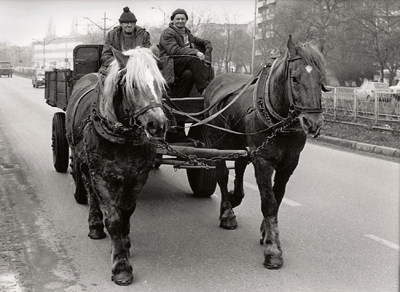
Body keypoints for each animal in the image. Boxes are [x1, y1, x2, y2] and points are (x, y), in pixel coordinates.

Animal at [65, 47, 167, 286]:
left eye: (159, 83)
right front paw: (121, 266)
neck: (123, 137)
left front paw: (124, 244)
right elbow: (113, 218)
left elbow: (126, 211)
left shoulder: (137, 176)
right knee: (90, 191)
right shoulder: (101, 175)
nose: (158, 125)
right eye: (133, 85)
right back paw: (95, 226)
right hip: (83, 164)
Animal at [203, 36, 324, 270]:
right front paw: (273, 250)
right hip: (216, 142)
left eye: (321, 79)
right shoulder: (263, 160)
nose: (313, 123)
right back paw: (227, 213)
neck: (279, 122)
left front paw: (266, 232)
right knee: (222, 175)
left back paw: (234, 198)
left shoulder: (289, 163)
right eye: (294, 78)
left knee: (239, 168)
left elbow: (278, 197)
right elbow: (269, 203)